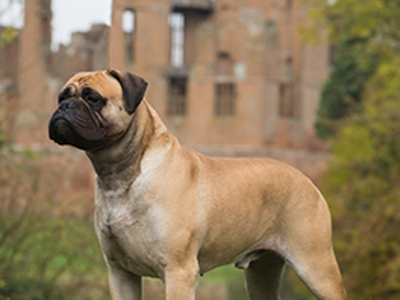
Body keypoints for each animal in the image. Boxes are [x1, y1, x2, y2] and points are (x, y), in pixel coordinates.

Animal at [47, 70, 346, 300]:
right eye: (62, 97)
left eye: (92, 98)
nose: (63, 107)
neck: (119, 172)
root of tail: (307, 179)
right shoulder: (120, 273)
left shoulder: (178, 271)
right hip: (262, 273)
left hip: (316, 265)